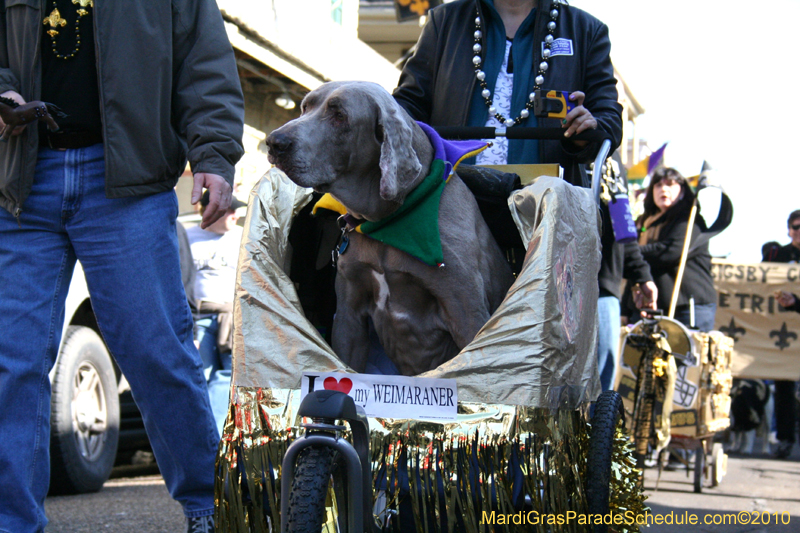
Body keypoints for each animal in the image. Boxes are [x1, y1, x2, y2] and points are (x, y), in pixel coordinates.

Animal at [266, 82, 516, 374]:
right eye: (305, 107)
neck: (385, 226)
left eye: (339, 115)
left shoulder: (466, 310)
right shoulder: (348, 314)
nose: (274, 141)